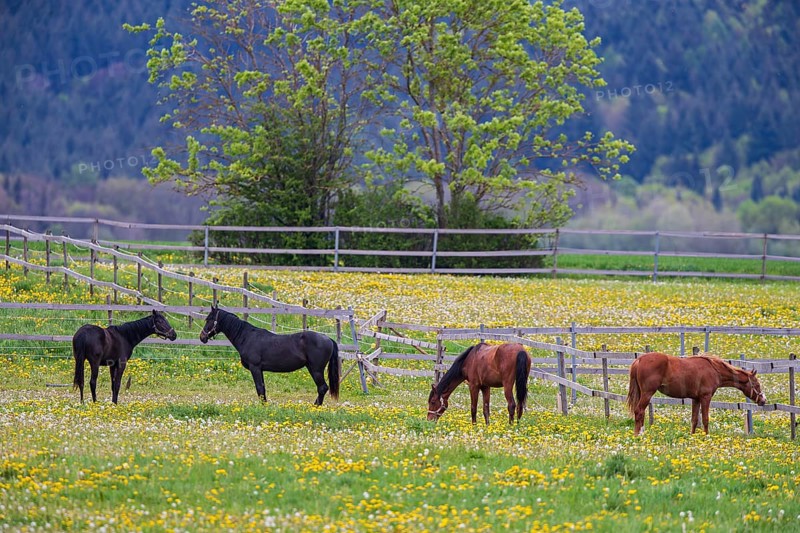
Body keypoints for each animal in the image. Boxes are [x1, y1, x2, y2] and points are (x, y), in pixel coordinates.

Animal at [199, 305, 340, 405]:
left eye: (209, 319)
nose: (202, 337)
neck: (247, 337)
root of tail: (328, 339)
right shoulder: (260, 370)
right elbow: (262, 389)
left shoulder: (255, 368)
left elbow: (259, 388)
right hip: (311, 368)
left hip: (316, 370)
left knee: (322, 388)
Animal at [626, 351, 767, 435]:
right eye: (757, 385)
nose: (763, 400)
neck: (714, 370)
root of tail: (639, 360)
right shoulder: (706, 398)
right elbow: (705, 419)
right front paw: (706, 436)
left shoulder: (696, 399)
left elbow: (694, 420)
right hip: (647, 393)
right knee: (639, 411)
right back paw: (638, 435)